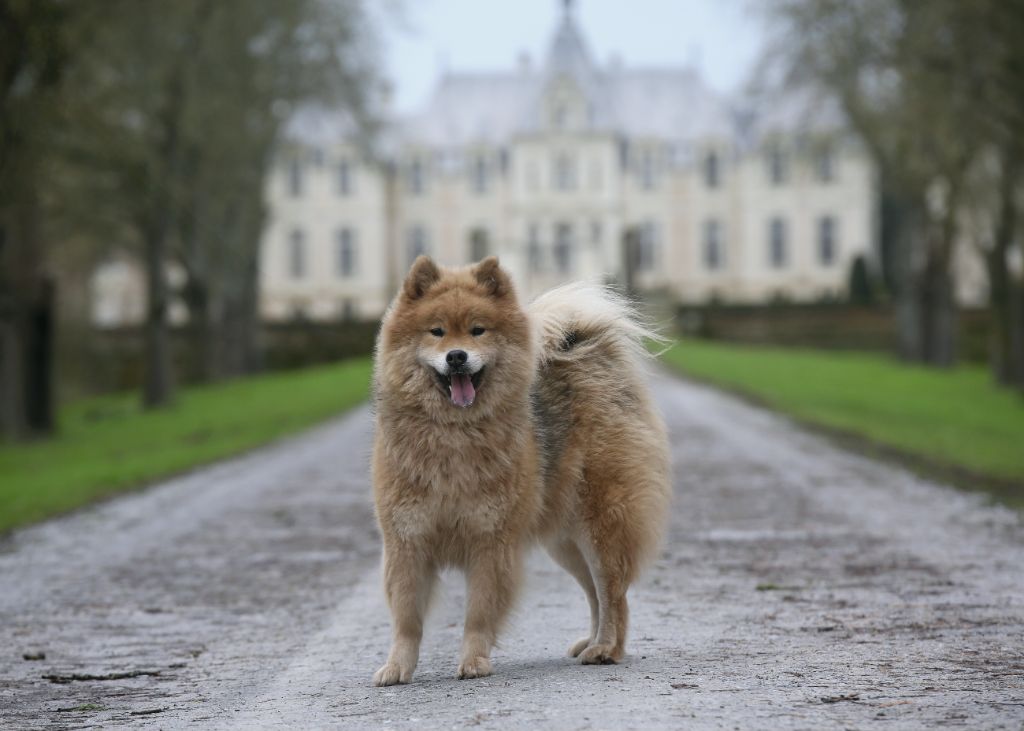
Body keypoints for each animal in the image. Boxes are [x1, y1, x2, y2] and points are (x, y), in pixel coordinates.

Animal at [372, 255, 667, 683]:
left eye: (477, 330)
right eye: (436, 331)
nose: (456, 356)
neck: (453, 435)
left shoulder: (490, 542)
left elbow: (478, 614)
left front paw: (474, 661)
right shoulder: (407, 542)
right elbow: (407, 619)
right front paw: (397, 667)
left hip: (600, 527)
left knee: (613, 592)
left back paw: (605, 649)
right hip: (564, 542)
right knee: (596, 593)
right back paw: (592, 643)